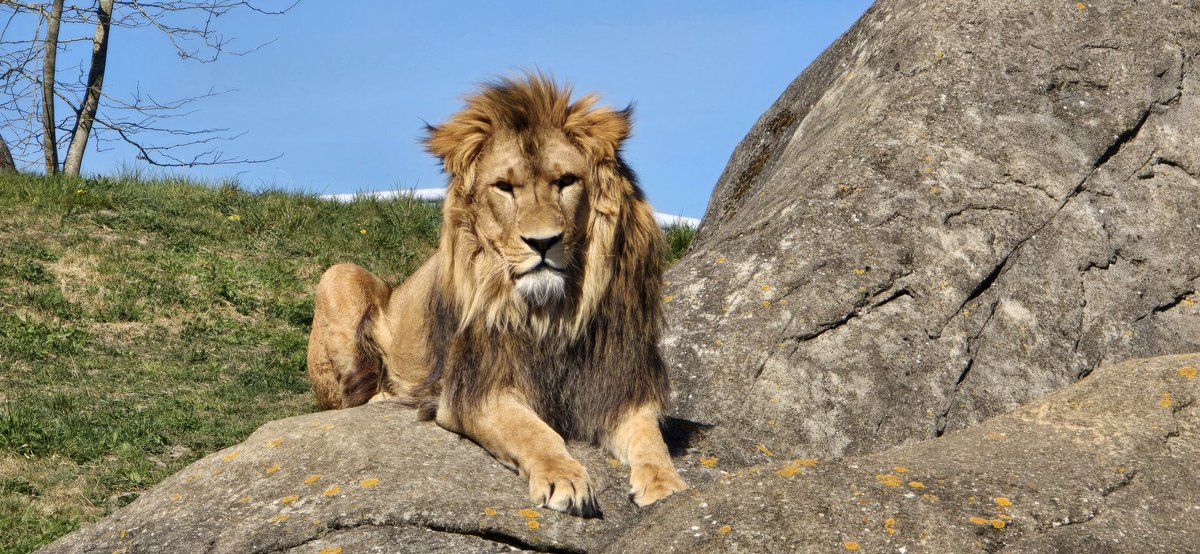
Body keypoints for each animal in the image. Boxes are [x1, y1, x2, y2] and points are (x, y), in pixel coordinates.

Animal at [306, 73, 687, 518]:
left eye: (566, 181)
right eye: (504, 188)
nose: (543, 242)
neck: (552, 312)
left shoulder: (618, 387)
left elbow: (650, 439)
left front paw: (666, 484)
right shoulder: (473, 392)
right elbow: (533, 432)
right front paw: (565, 479)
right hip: (339, 276)